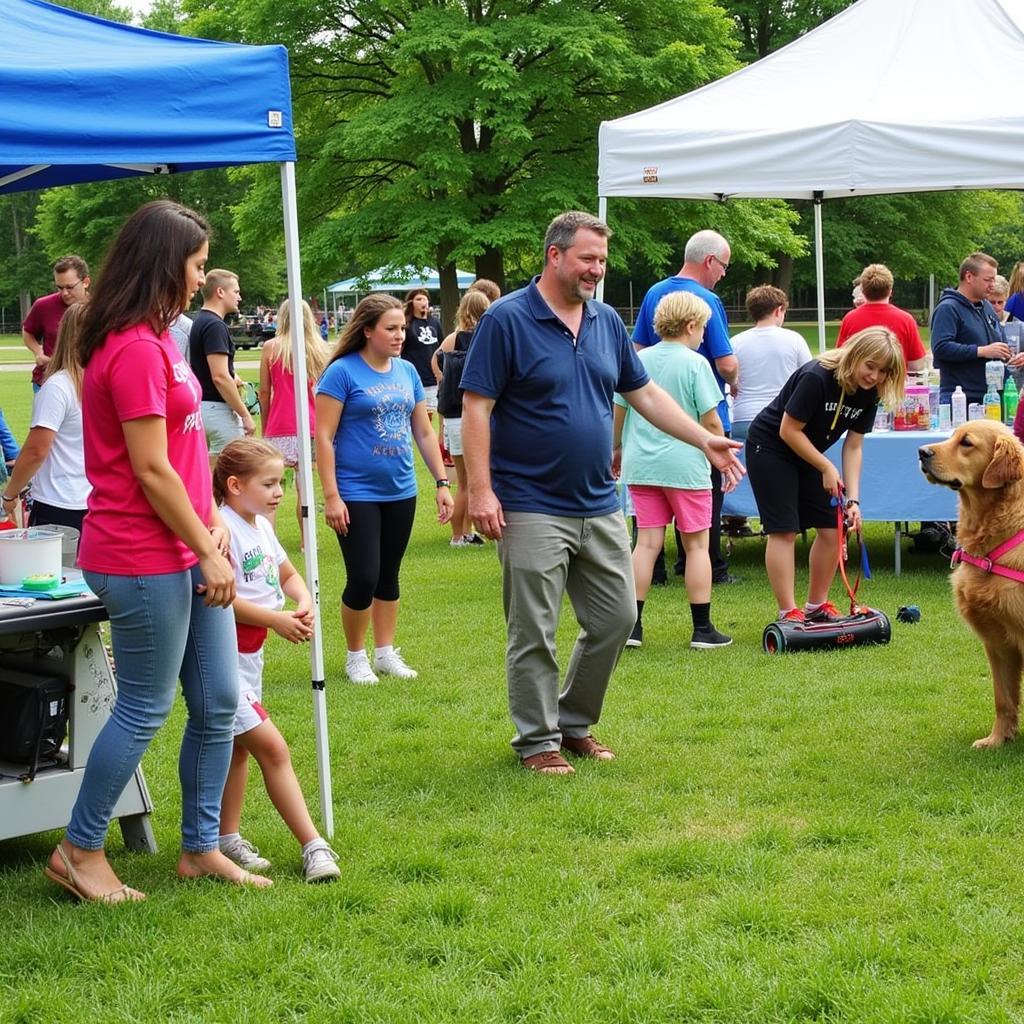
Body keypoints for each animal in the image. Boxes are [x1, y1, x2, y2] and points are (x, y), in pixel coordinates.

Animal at [917, 419, 1024, 749]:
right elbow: (1003, 699)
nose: (921, 451)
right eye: (951, 435)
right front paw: (997, 739)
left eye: (966, 442)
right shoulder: (998, 643)